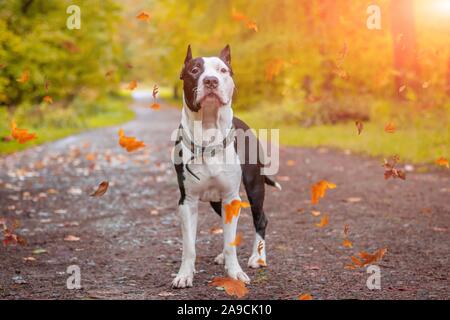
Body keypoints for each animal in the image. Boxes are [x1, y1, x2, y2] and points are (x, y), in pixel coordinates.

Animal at [172, 44, 282, 288]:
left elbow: (231, 239)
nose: (211, 81)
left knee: (261, 219)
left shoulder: (232, 197)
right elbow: (189, 247)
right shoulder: (187, 202)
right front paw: (185, 274)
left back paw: (258, 257)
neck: (208, 133)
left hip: (254, 187)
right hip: (217, 200)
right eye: (194, 70)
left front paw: (235, 274)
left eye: (223, 70)